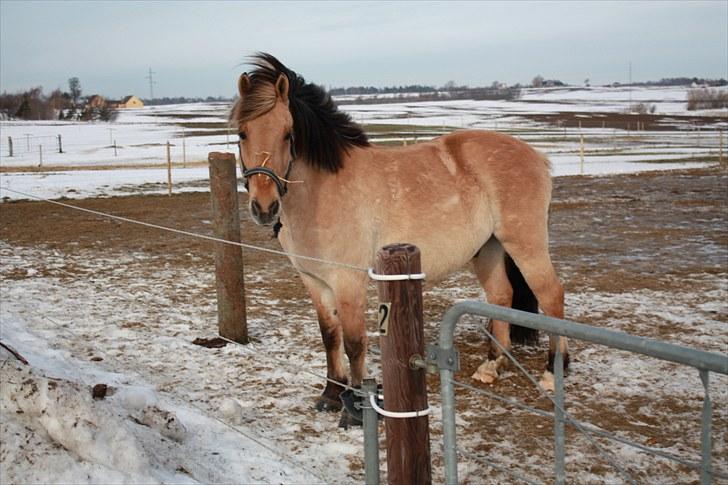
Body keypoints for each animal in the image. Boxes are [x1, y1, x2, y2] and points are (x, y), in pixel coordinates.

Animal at [230, 53, 564, 414]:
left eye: (288, 134)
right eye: (242, 133)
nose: (265, 207)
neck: (322, 191)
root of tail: (538, 156)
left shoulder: (347, 281)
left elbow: (354, 342)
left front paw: (354, 403)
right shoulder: (314, 281)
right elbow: (329, 335)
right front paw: (330, 395)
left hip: (525, 243)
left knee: (551, 296)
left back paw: (552, 372)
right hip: (488, 248)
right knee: (501, 295)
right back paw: (491, 366)